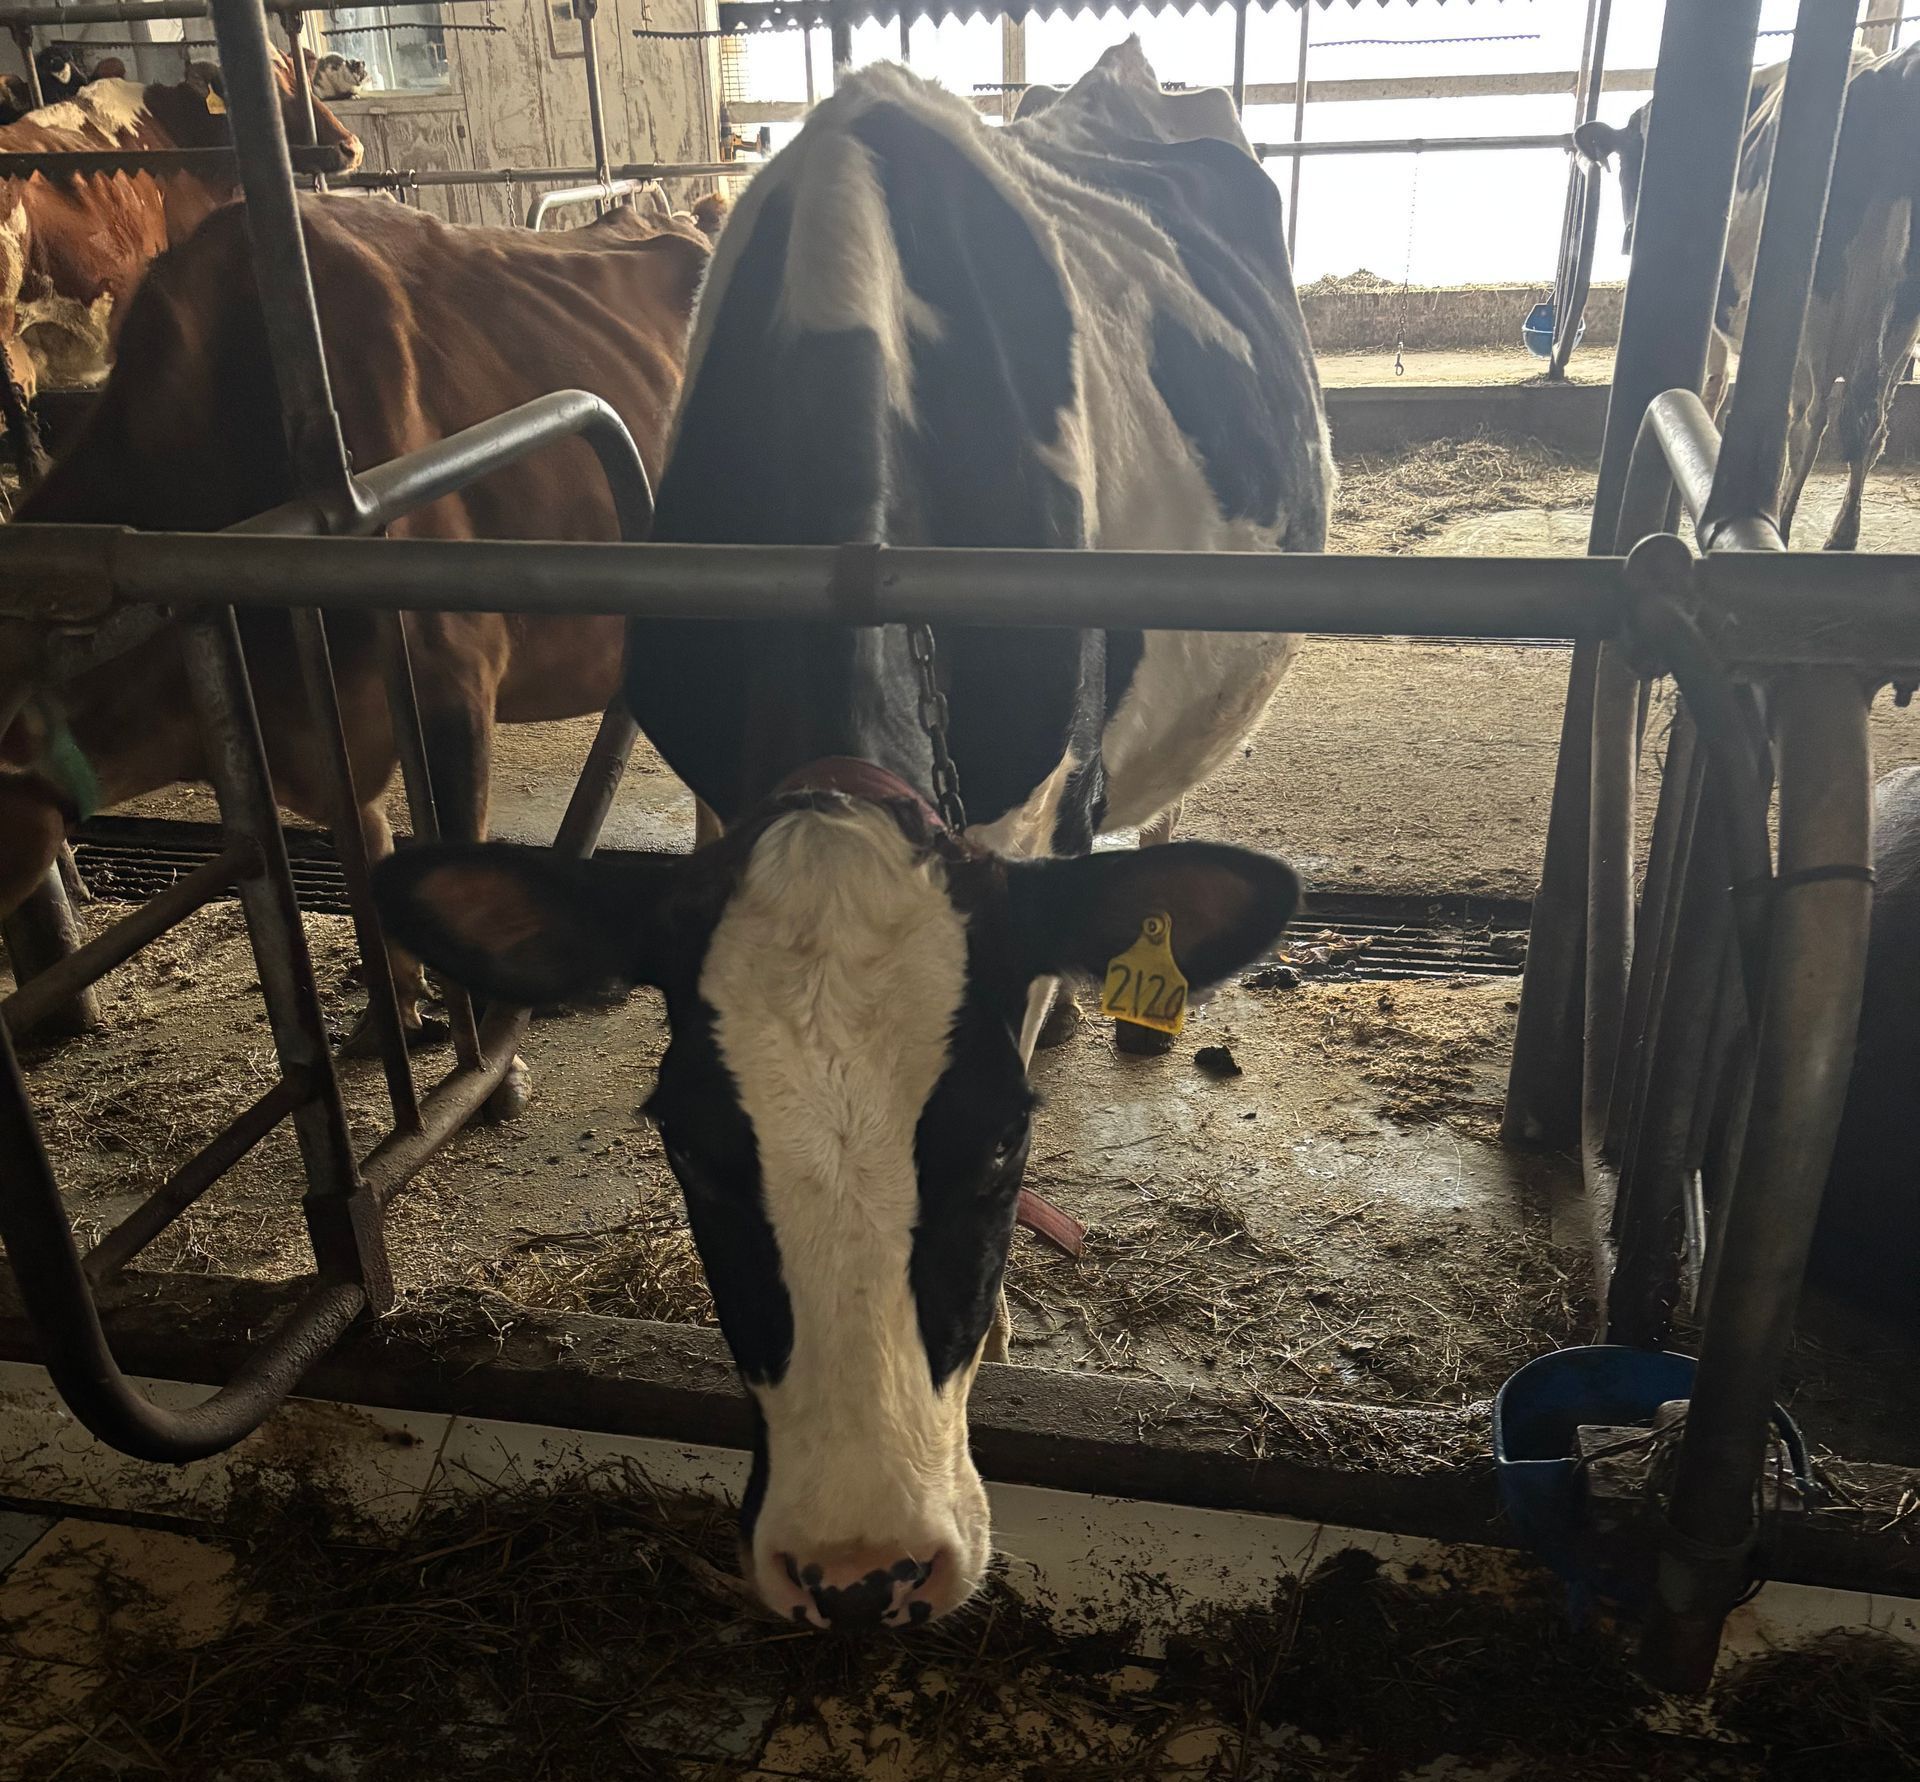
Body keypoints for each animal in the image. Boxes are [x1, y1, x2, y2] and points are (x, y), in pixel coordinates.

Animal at [1576, 45, 1920, 550]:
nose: (1633, 236)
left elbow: (1712, 386)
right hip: (1897, 324)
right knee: (1869, 423)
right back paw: (1840, 535)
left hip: (1818, 314)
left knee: (1812, 423)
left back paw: (1786, 521)